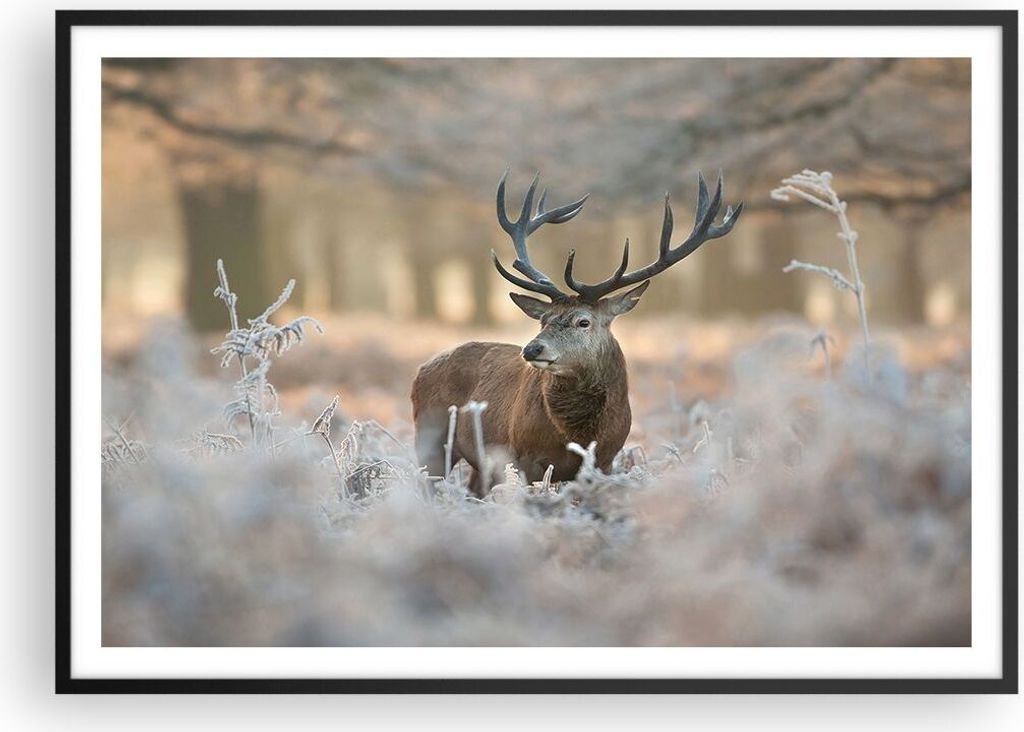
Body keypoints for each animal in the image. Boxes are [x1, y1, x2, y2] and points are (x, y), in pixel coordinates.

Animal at [411, 169, 743, 496]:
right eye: (543, 320)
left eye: (583, 322)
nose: (532, 349)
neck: (578, 435)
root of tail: (421, 369)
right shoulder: (523, 458)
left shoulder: (605, 460)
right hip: (429, 435)